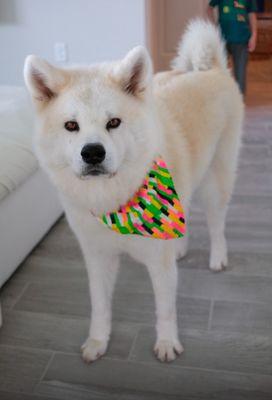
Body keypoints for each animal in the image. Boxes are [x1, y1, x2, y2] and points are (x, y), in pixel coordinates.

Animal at [24, 19, 243, 362]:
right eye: (71, 126)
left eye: (113, 122)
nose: (93, 153)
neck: (112, 203)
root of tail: (208, 70)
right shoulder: (98, 256)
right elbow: (100, 305)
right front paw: (98, 341)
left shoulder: (159, 264)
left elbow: (165, 309)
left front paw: (167, 343)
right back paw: (181, 246)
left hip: (216, 181)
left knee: (216, 223)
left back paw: (218, 257)